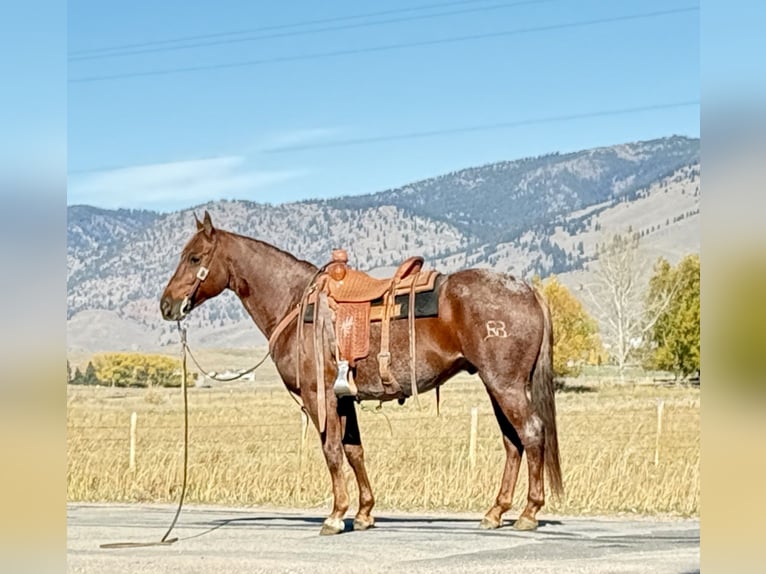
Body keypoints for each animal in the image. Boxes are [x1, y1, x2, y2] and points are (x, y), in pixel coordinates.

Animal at [160, 211, 562, 535]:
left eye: (194, 257)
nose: (166, 305)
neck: (294, 301)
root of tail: (528, 290)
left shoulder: (318, 395)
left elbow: (332, 451)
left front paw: (336, 515)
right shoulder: (344, 398)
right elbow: (354, 451)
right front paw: (365, 512)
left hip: (505, 385)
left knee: (530, 433)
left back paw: (528, 512)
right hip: (498, 386)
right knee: (512, 442)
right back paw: (495, 512)